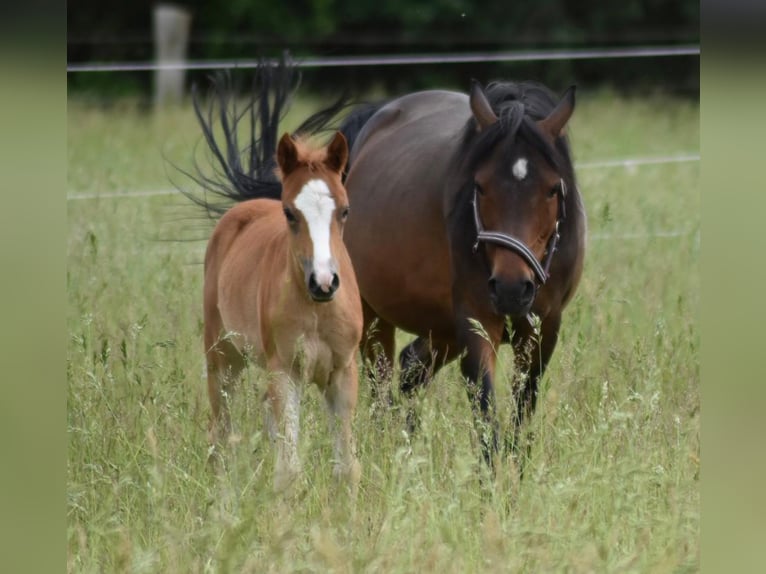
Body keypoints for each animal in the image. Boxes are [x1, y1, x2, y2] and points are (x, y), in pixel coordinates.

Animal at [190, 66, 364, 490]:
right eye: (289, 212)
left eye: (345, 210)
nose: (324, 282)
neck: (317, 310)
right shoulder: (286, 372)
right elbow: (290, 470)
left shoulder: (343, 372)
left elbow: (347, 466)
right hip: (222, 355)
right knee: (221, 434)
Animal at [300, 79, 588, 470]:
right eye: (479, 186)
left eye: (552, 189)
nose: (511, 289)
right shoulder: (475, 323)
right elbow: (485, 417)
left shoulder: (543, 329)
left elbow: (522, 415)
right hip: (375, 317)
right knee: (382, 384)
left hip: (442, 329)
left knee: (410, 372)